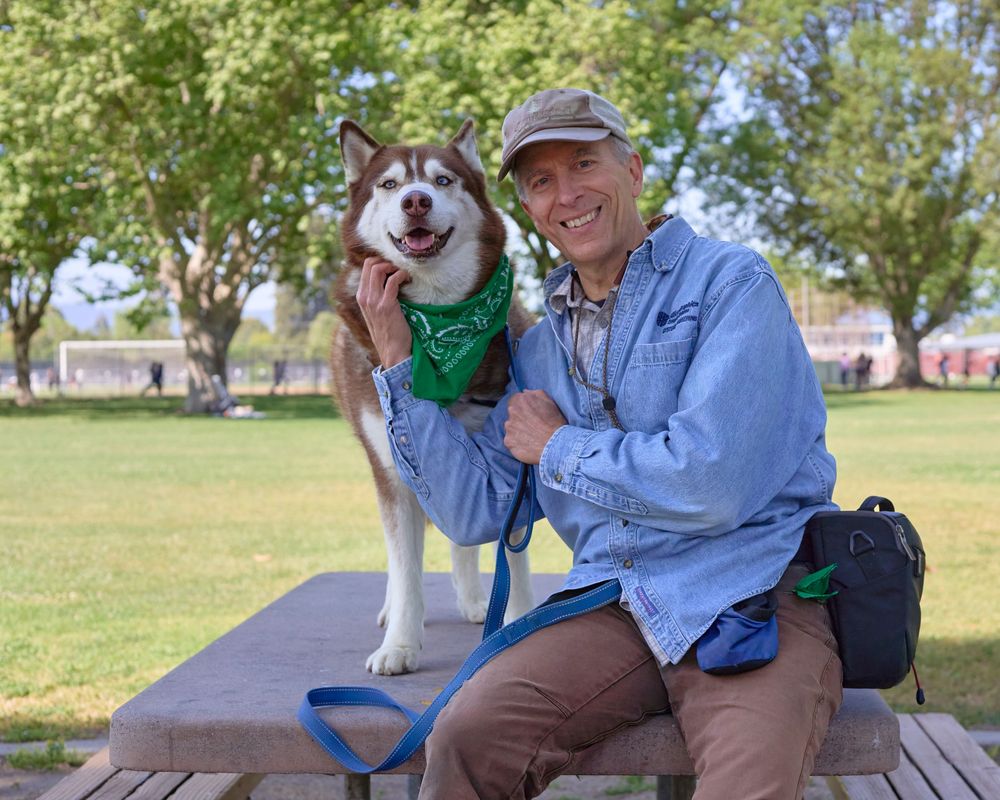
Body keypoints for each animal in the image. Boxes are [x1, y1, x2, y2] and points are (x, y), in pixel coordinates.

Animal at [331, 119, 536, 675]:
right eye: (389, 185)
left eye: (443, 180)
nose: (416, 201)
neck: (439, 318)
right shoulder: (392, 465)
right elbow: (405, 566)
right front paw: (400, 644)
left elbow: (508, 552)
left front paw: (517, 622)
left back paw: (475, 601)